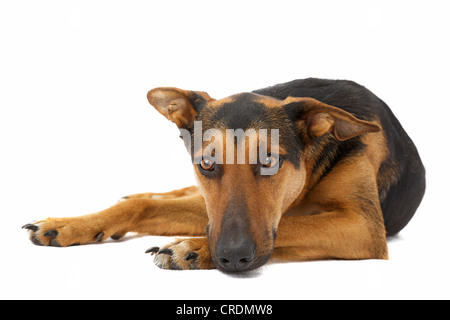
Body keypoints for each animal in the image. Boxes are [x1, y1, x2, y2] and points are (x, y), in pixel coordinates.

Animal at [23, 78, 426, 272]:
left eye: (269, 162)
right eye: (206, 164)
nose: (232, 257)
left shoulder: (362, 226)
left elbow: (292, 224)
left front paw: (193, 247)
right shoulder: (209, 203)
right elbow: (148, 206)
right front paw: (72, 223)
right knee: (154, 197)